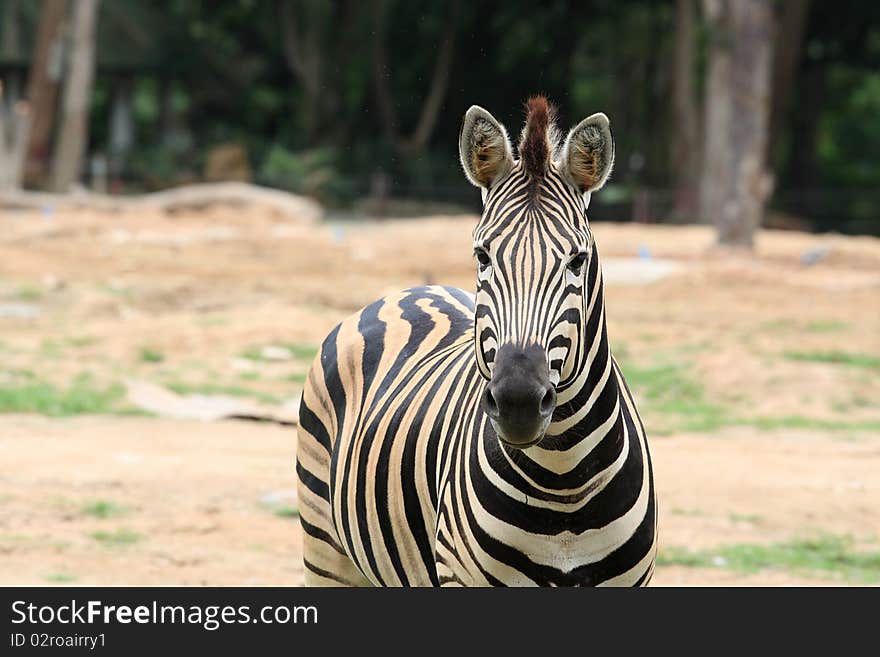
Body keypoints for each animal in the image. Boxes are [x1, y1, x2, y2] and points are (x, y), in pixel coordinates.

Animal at [300, 96, 656, 584]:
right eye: (482, 255)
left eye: (577, 260)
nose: (518, 402)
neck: (563, 483)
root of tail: (413, 290)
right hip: (324, 549)